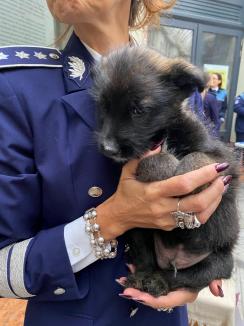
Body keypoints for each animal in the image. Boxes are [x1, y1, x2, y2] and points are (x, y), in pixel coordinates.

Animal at [90, 47, 239, 296]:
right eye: (103, 106)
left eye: (138, 110)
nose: (108, 149)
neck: (162, 133)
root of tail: (173, 259)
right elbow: (151, 160)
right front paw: (166, 168)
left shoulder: (224, 160)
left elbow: (201, 158)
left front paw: (186, 170)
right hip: (140, 232)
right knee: (147, 261)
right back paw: (143, 278)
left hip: (217, 263)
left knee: (183, 277)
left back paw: (159, 282)